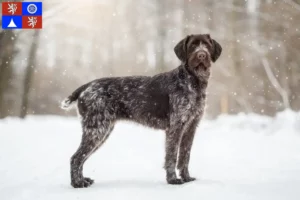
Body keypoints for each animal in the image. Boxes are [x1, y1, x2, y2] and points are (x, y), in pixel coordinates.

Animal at [61, 33, 221, 188]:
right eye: (193, 45)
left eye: (207, 45)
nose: (201, 55)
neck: (194, 81)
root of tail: (87, 86)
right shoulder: (175, 127)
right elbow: (172, 156)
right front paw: (173, 180)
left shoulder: (191, 127)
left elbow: (185, 156)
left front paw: (186, 178)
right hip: (96, 130)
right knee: (76, 158)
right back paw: (77, 183)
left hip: (102, 131)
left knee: (81, 158)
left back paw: (83, 180)